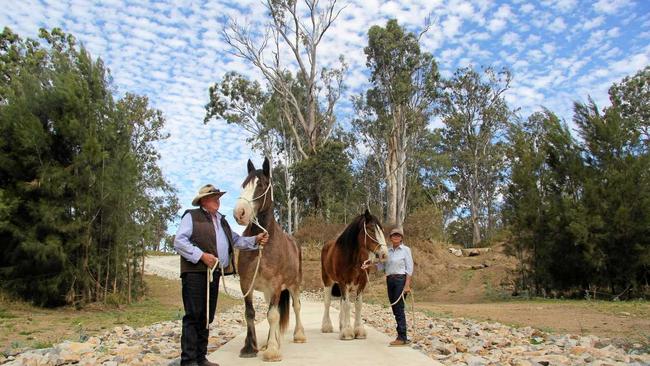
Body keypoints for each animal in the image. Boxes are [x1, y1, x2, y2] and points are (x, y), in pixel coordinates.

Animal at [232, 157, 306, 360]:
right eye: (244, 185)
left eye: (261, 185)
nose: (239, 213)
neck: (263, 244)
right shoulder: (246, 284)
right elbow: (250, 313)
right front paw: (250, 347)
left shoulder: (275, 285)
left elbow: (273, 316)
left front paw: (272, 350)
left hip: (293, 284)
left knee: (296, 307)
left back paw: (299, 335)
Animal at [318, 209, 384, 340]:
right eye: (371, 229)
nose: (384, 253)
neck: (353, 258)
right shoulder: (343, 282)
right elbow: (347, 305)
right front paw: (348, 332)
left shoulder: (362, 282)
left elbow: (357, 304)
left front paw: (358, 330)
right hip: (327, 280)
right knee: (328, 302)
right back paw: (327, 326)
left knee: (341, 303)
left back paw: (341, 325)